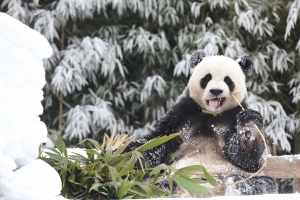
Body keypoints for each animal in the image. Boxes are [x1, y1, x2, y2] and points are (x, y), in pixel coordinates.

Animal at [126, 49, 276, 197]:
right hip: (171, 174)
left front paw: (249, 128)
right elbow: (158, 142)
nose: (216, 90)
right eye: (207, 78)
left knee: (261, 183)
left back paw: (237, 187)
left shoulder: (234, 114)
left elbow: (246, 159)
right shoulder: (182, 114)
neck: (212, 115)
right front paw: (127, 155)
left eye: (228, 80)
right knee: (152, 185)